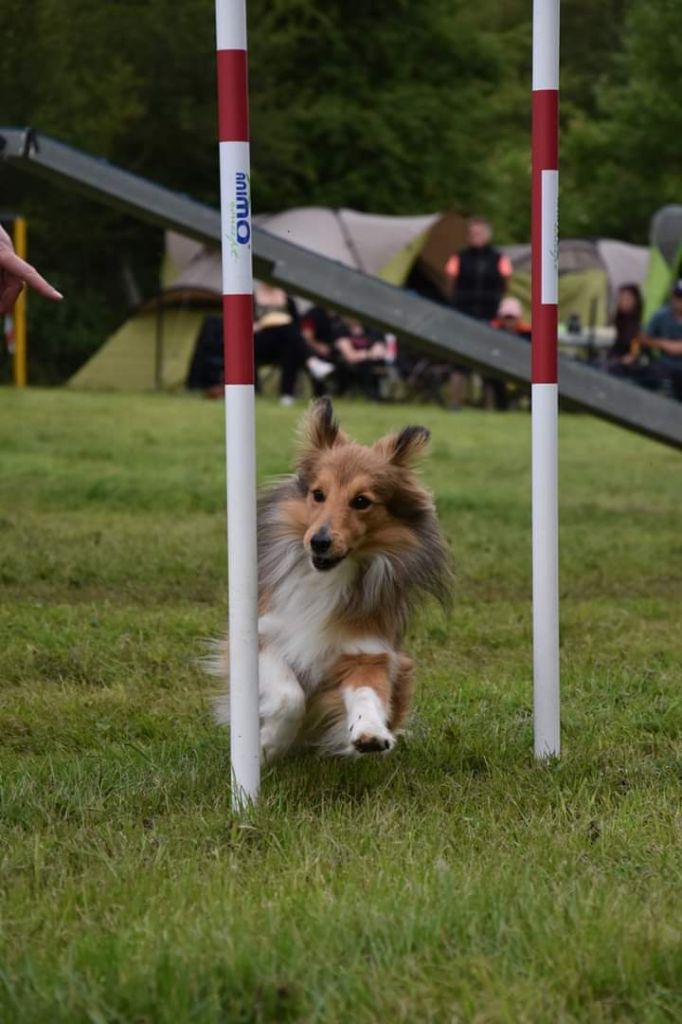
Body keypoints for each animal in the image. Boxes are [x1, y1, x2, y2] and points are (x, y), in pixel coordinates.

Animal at [209, 399, 448, 761]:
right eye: (318, 494)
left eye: (362, 501)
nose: (318, 542)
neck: (326, 580)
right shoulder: (262, 635)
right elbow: (289, 695)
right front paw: (268, 743)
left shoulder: (367, 650)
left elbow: (368, 692)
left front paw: (370, 732)